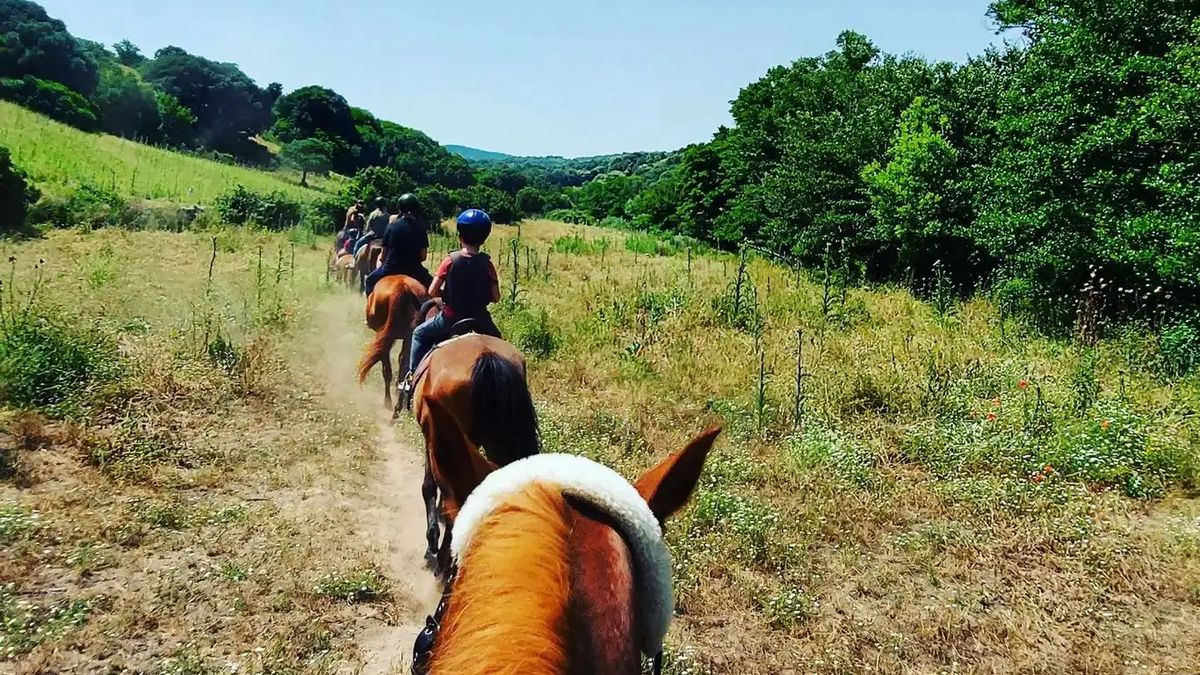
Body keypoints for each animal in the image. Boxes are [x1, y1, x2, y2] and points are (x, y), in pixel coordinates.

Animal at [356, 275, 428, 410]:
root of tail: (401, 287)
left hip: (383, 335)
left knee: (387, 369)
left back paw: (387, 401)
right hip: (408, 335)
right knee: (403, 364)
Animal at [412, 329, 541, 575]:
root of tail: (486, 357)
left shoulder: (430, 437)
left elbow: (429, 487)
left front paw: (431, 544)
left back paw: (444, 563)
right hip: (499, 441)